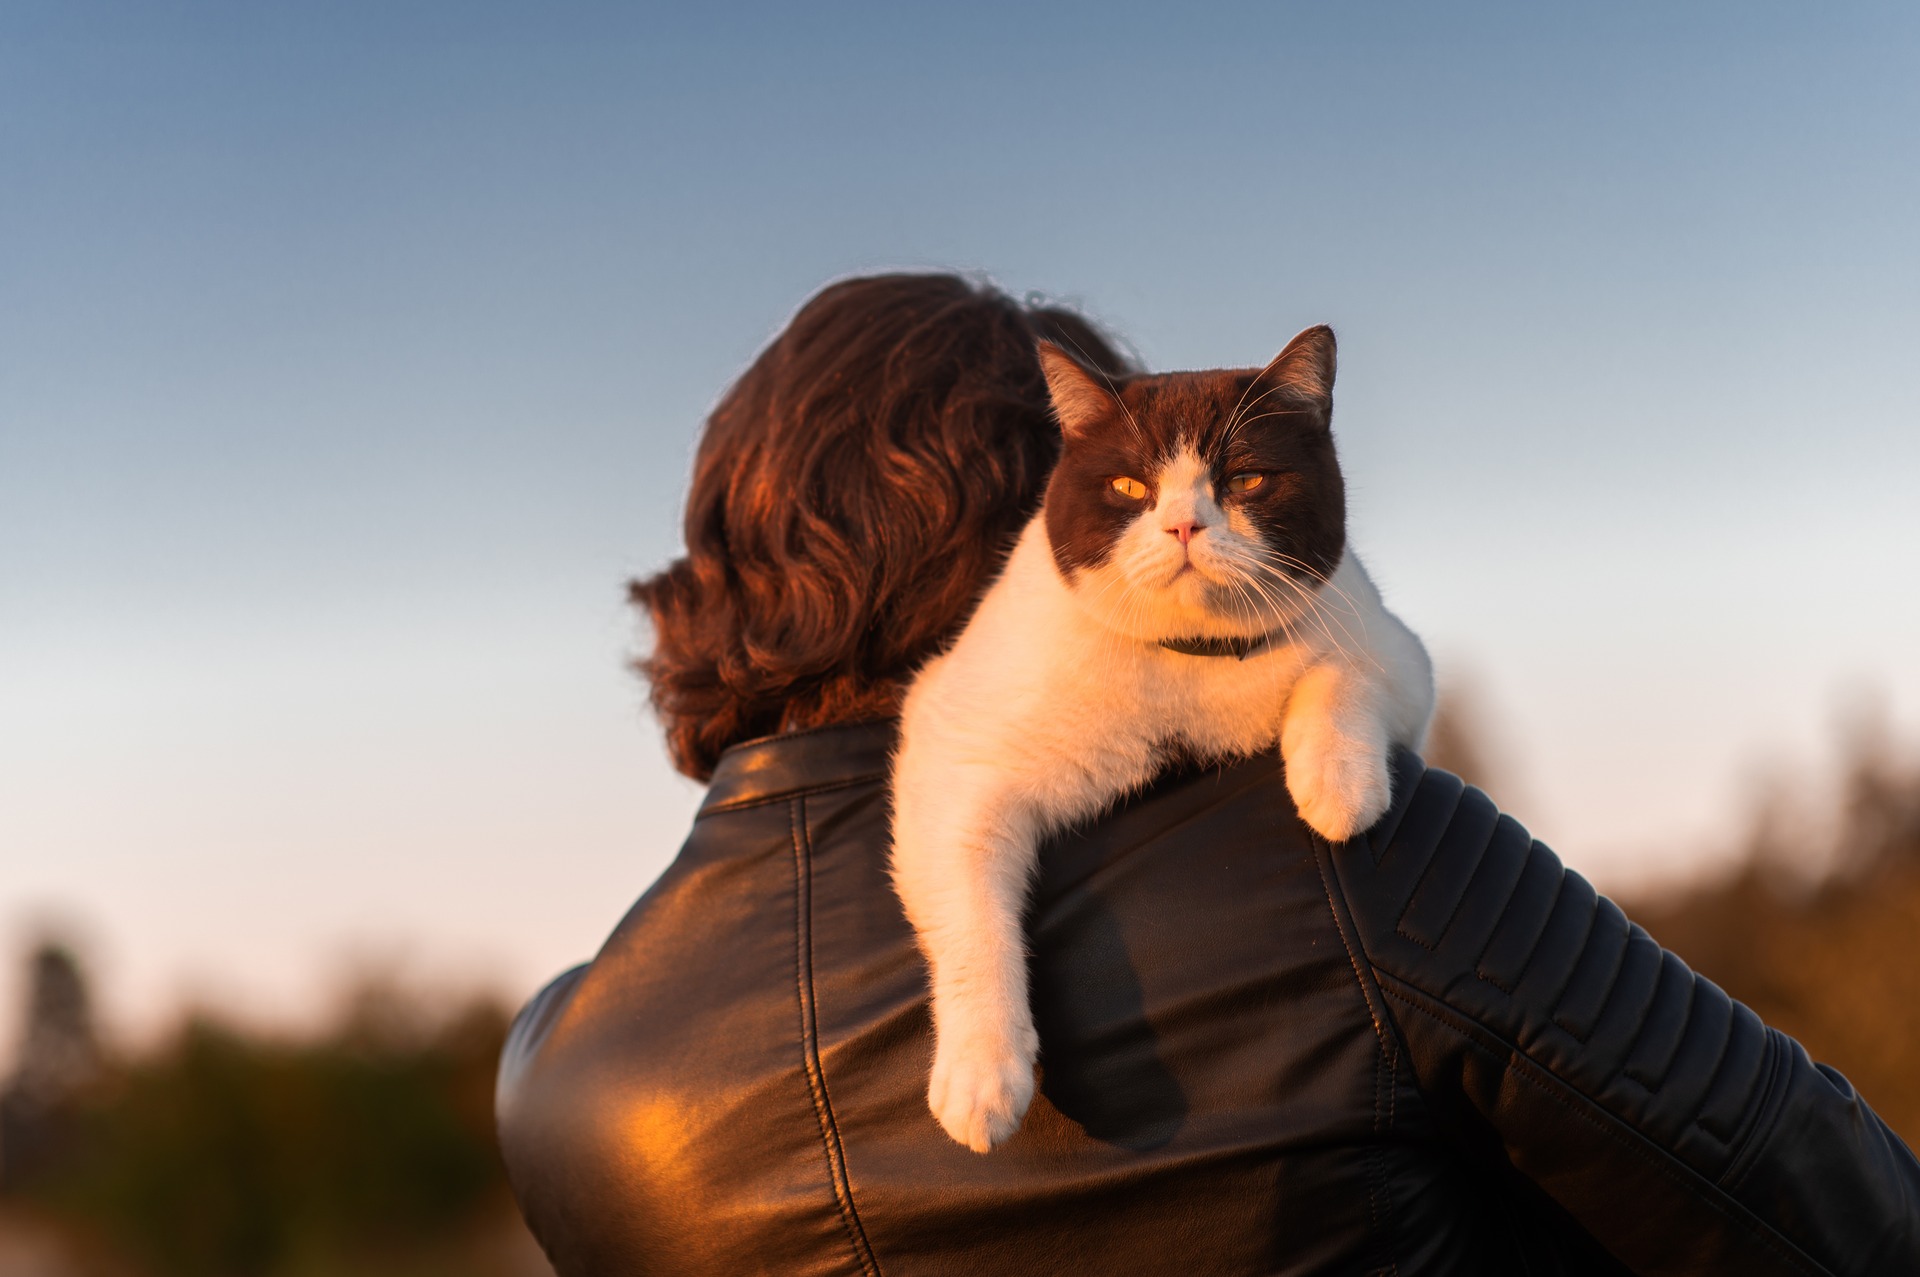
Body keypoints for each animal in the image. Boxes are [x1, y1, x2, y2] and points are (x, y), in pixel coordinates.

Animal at [890, 324, 1436, 1152]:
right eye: (1128, 488)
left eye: (1246, 479)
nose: (1184, 525)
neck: (1193, 663)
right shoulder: (954, 751)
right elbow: (971, 918)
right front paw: (982, 1079)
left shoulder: (1395, 651)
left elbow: (1339, 673)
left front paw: (1337, 789)